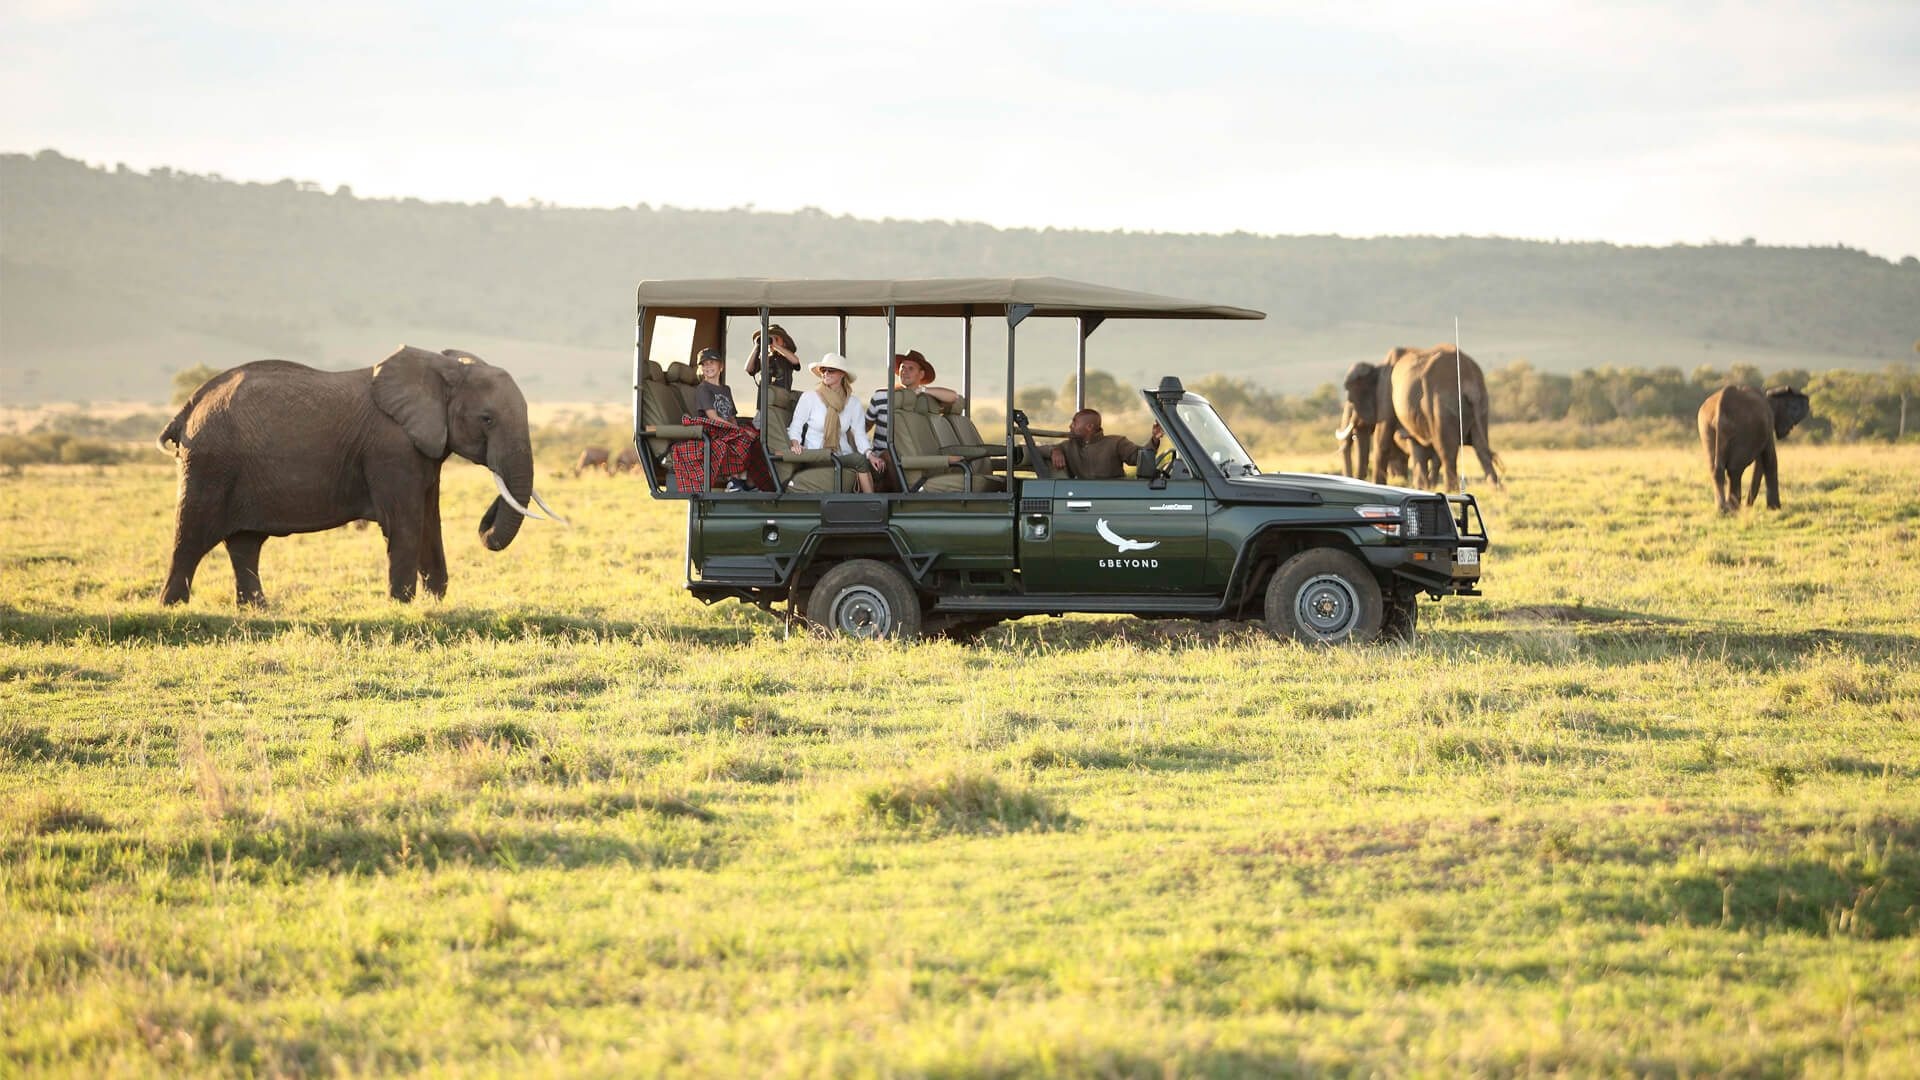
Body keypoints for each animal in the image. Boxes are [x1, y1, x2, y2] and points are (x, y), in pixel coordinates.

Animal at [156, 349, 560, 611]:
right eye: (487, 419)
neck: (443, 368)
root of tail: (189, 407)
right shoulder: (391, 448)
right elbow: (406, 522)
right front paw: (402, 606)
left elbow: (430, 520)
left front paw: (435, 602)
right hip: (210, 464)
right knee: (190, 535)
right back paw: (172, 607)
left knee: (245, 543)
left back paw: (256, 610)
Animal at [1344, 342, 1505, 490]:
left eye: (1351, 402)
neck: (1377, 367)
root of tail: (1469, 380)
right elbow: (1416, 446)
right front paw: (1422, 488)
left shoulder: (1385, 392)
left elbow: (1382, 440)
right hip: (1481, 404)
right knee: (1481, 448)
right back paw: (1496, 491)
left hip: (1440, 405)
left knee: (1447, 451)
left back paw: (1450, 491)